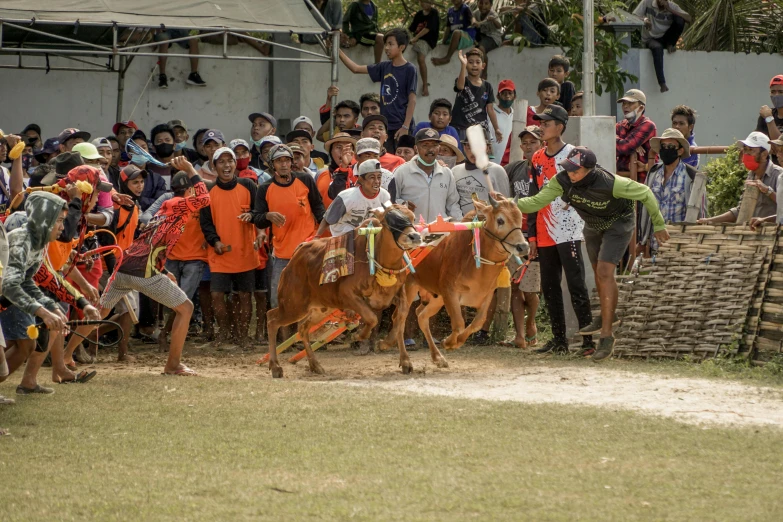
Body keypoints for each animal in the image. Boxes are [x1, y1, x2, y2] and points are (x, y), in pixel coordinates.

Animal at [266, 203, 422, 378]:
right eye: (389, 221)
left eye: (412, 218)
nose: (414, 236)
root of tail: (294, 259)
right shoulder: (348, 295)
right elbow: (372, 318)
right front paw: (358, 335)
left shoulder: (398, 294)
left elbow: (400, 318)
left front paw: (401, 357)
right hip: (293, 306)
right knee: (272, 318)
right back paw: (275, 367)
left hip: (320, 308)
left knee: (303, 327)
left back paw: (315, 365)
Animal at [404, 193, 528, 368]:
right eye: (500, 220)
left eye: (519, 218)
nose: (523, 247)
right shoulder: (449, 292)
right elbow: (459, 323)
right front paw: (449, 342)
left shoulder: (487, 295)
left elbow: (477, 322)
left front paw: (457, 341)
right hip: (408, 288)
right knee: (399, 319)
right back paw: (399, 354)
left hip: (435, 298)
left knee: (421, 316)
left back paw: (437, 357)